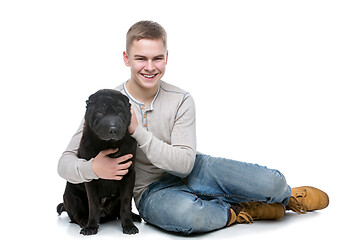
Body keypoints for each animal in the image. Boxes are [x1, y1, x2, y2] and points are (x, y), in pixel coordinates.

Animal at [57, 89, 140, 235]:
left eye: (120, 112)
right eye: (100, 112)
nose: (113, 128)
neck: (109, 145)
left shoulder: (128, 174)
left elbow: (126, 202)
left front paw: (129, 225)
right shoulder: (91, 179)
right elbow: (93, 204)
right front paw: (91, 226)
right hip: (71, 194)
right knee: (76, 215)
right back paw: (84, 221)